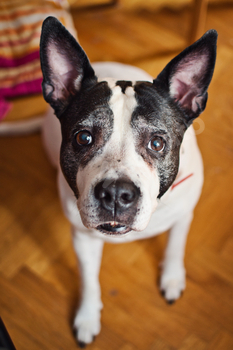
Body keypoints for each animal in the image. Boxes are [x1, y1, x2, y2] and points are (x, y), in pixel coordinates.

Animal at [39, 17, 217, 348]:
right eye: (83, 138)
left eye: (157, 143)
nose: (115, 194)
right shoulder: (83, 239)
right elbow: (89, 280)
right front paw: (87, 317)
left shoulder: (184, 214)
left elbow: (175, 245)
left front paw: (172, 277)